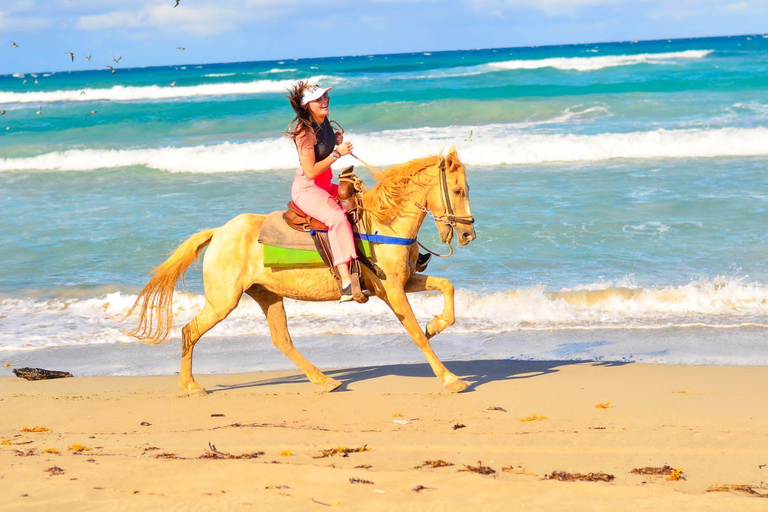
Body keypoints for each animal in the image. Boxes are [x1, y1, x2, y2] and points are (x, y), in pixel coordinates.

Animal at [127, 146, 474, 394]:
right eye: (458, 191)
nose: (468, 234)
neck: (383, 223)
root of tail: (218, 233)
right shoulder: (391, 291)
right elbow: (415, 334)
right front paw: (450, 378)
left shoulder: (404, 281)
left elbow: (446, 286)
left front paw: (436, 324)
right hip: (223, 301)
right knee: (190, 330)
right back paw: (191, 385)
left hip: (267, 295)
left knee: (281, 340)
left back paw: (324, 381)